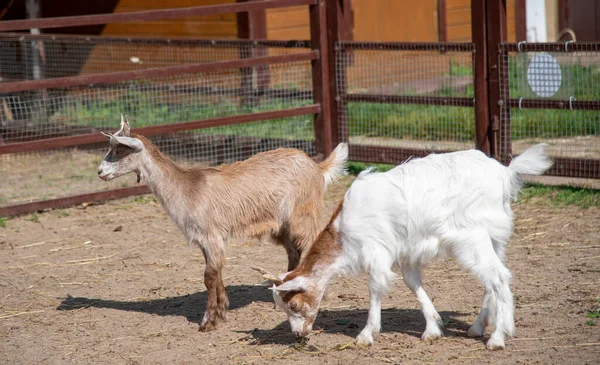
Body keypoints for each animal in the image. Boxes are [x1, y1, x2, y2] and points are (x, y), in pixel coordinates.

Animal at [96, 115, 350, 332]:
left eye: (120, 149)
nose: (100, 172)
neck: (187, 188)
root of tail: (317, 167)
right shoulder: (206, 239)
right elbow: (215, 273)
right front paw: (222, 310)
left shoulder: (211, 235)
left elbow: (209, 276)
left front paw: (208, 321)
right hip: (283, 225)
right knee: (293, 252)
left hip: (303, 213)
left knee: (313, 244)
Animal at [262, 143, 552, 350]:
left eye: (294, 305)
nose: (298, 335)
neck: (343, 233)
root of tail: (505, 173)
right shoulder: (406, 254)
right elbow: (414, 285)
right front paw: (432, 329)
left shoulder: (376, 250)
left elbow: (375, 287)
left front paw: (366, 334)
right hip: (495, 239)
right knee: (492, 281)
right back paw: (478, 327)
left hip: (473, 238)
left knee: (499, 278)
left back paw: (498, 338)